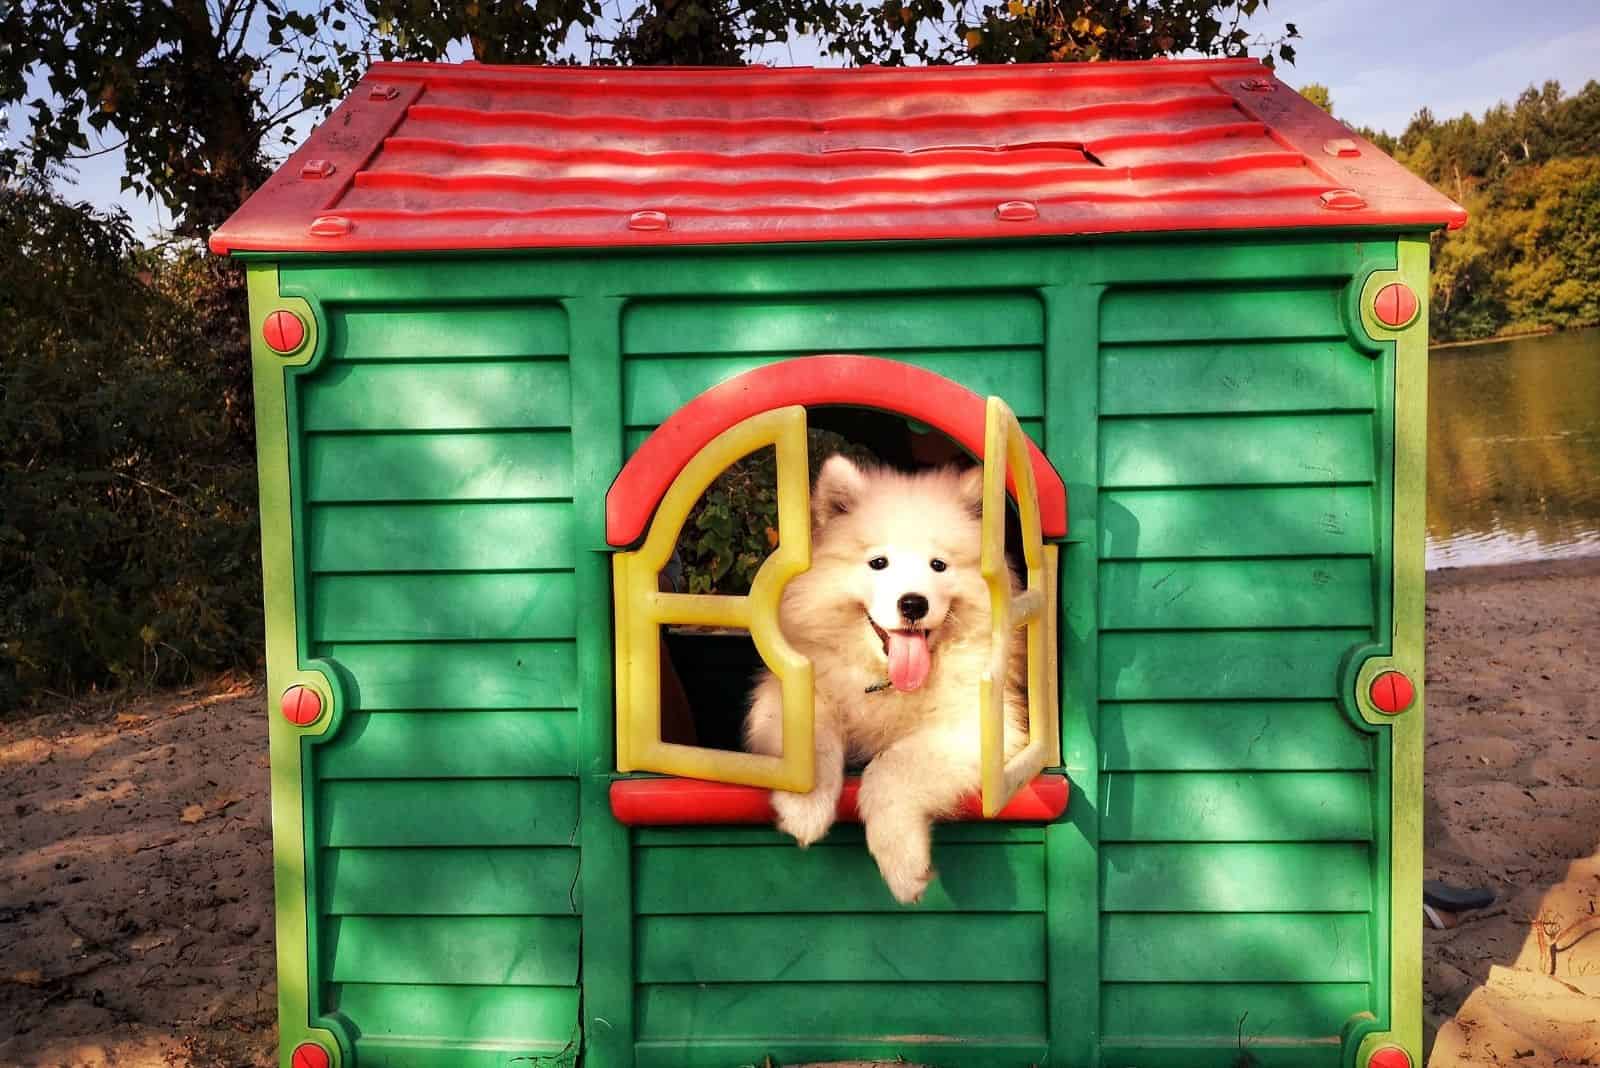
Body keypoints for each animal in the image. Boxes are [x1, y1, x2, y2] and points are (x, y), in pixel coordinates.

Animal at [745, 454, 1030, 908]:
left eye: (938, 565)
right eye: (878, 563)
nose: (913, 603)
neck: (889, 683)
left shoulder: (981, 726)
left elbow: (890, 767)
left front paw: (902, 864)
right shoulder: (787, 687)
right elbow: (810, 738)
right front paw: (805, 808)